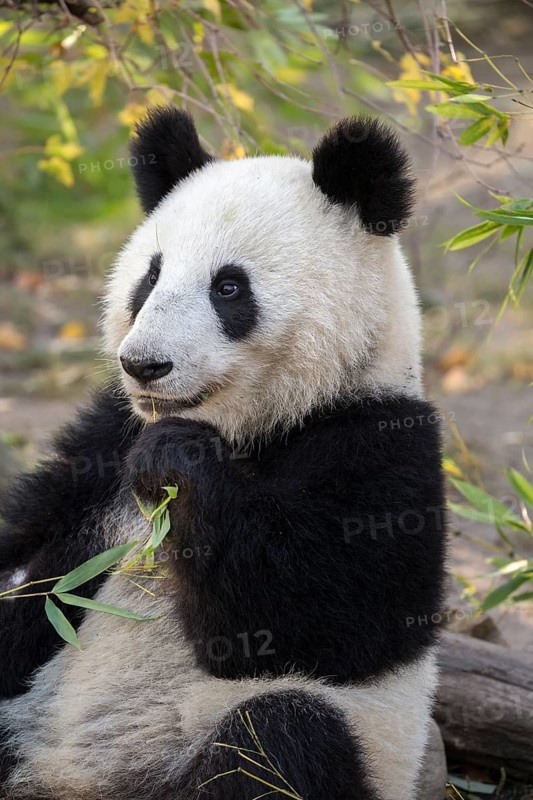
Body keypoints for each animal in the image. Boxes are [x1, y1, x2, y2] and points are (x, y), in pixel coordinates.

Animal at [0, 107, 446, 800]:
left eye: (229, 288)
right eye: (151, 276)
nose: (144, 364)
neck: (245, 425)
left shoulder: (381, 443)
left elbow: (311, 614)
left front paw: (176, 463)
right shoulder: (102, 442)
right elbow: (35, 556)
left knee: (281, 736)